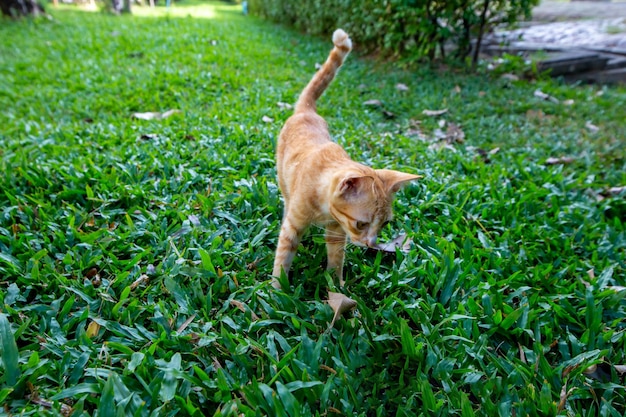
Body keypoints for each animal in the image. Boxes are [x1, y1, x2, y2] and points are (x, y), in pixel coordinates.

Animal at [270, 30, 420, 290]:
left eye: (384, 225)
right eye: (361, 224)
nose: (371, 244)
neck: (324, 210)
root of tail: (307, 111)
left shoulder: (337, 232)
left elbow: (336, 259)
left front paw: (335, 286)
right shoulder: (293, 228)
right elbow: (283, 259)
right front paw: (276, 291)